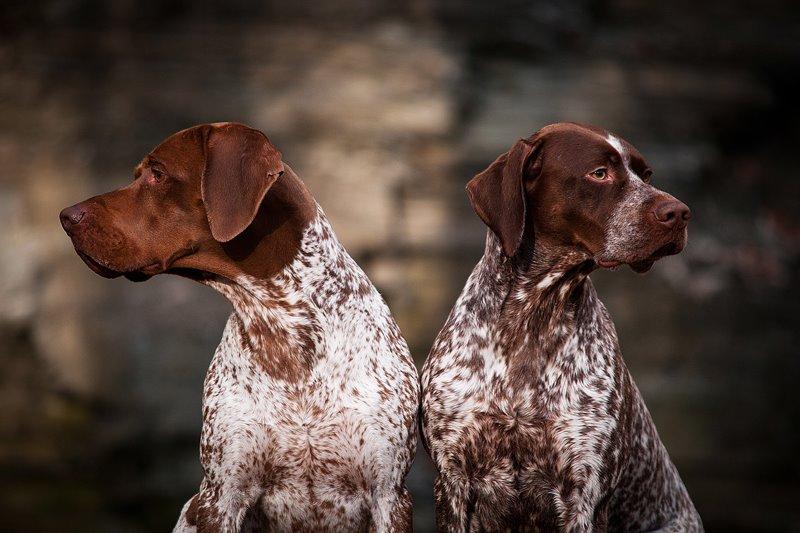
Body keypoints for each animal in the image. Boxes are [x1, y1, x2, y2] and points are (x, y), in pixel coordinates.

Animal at [418, 122, 700, 528]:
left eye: (646, 175)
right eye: (599, 173)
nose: (680, 212)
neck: (533, 315)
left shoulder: (582, 492)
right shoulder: (453, 481)